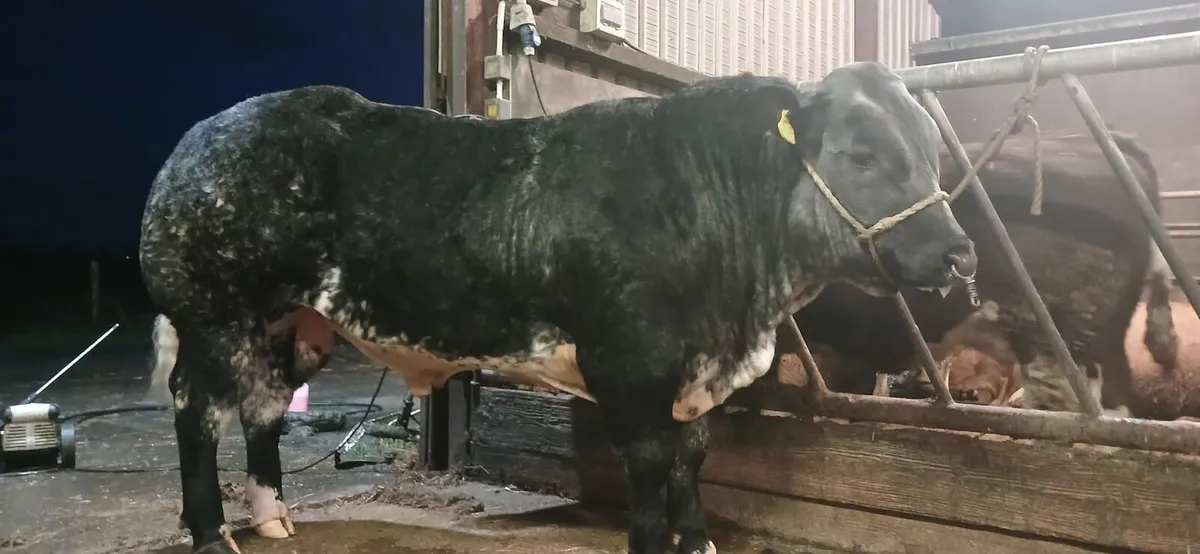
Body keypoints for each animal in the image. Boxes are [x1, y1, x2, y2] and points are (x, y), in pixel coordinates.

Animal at [139, 63, 977, 554]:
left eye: (934, 155)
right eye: (862, 156)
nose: (960, 255)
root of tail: (201, 137)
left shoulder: (688, 372)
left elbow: (694, 455)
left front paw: (698, 541)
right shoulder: (629, 363)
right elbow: (651, 464)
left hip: (290, 324)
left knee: (262, 408)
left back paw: (272, 516)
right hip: (213, 312)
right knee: (197, 412)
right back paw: (212, 535)